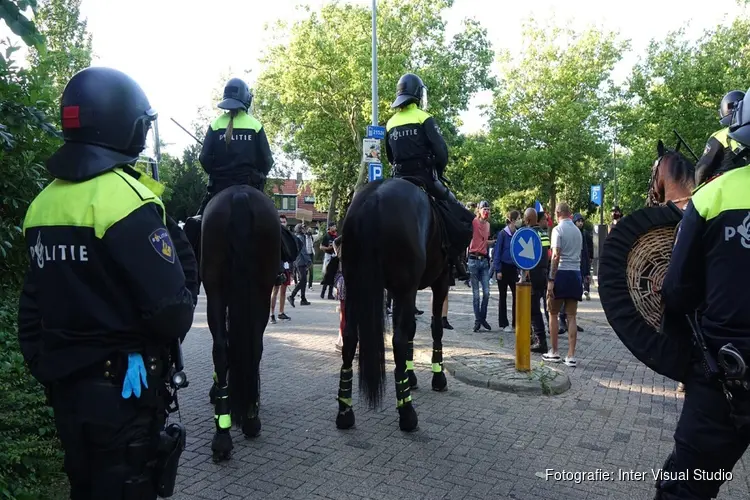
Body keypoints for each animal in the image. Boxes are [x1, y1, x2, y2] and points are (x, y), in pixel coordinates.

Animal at [191, 187, 282, 460]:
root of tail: (240, 194)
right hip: (260, 290)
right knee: (252, 347)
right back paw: (247, 419)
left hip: (216, 290)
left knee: (222, 348)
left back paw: (225, 432)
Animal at [340, 178, 456, 432]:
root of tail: (373, 198)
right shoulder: (439, 281)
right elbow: (435, 328)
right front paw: (437, 376)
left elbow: (412, 328)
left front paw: (411, 377)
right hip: (406, 287)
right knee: (399, 340)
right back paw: (407, 413)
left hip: (355, 287)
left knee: (350, 337)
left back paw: (344, 411)